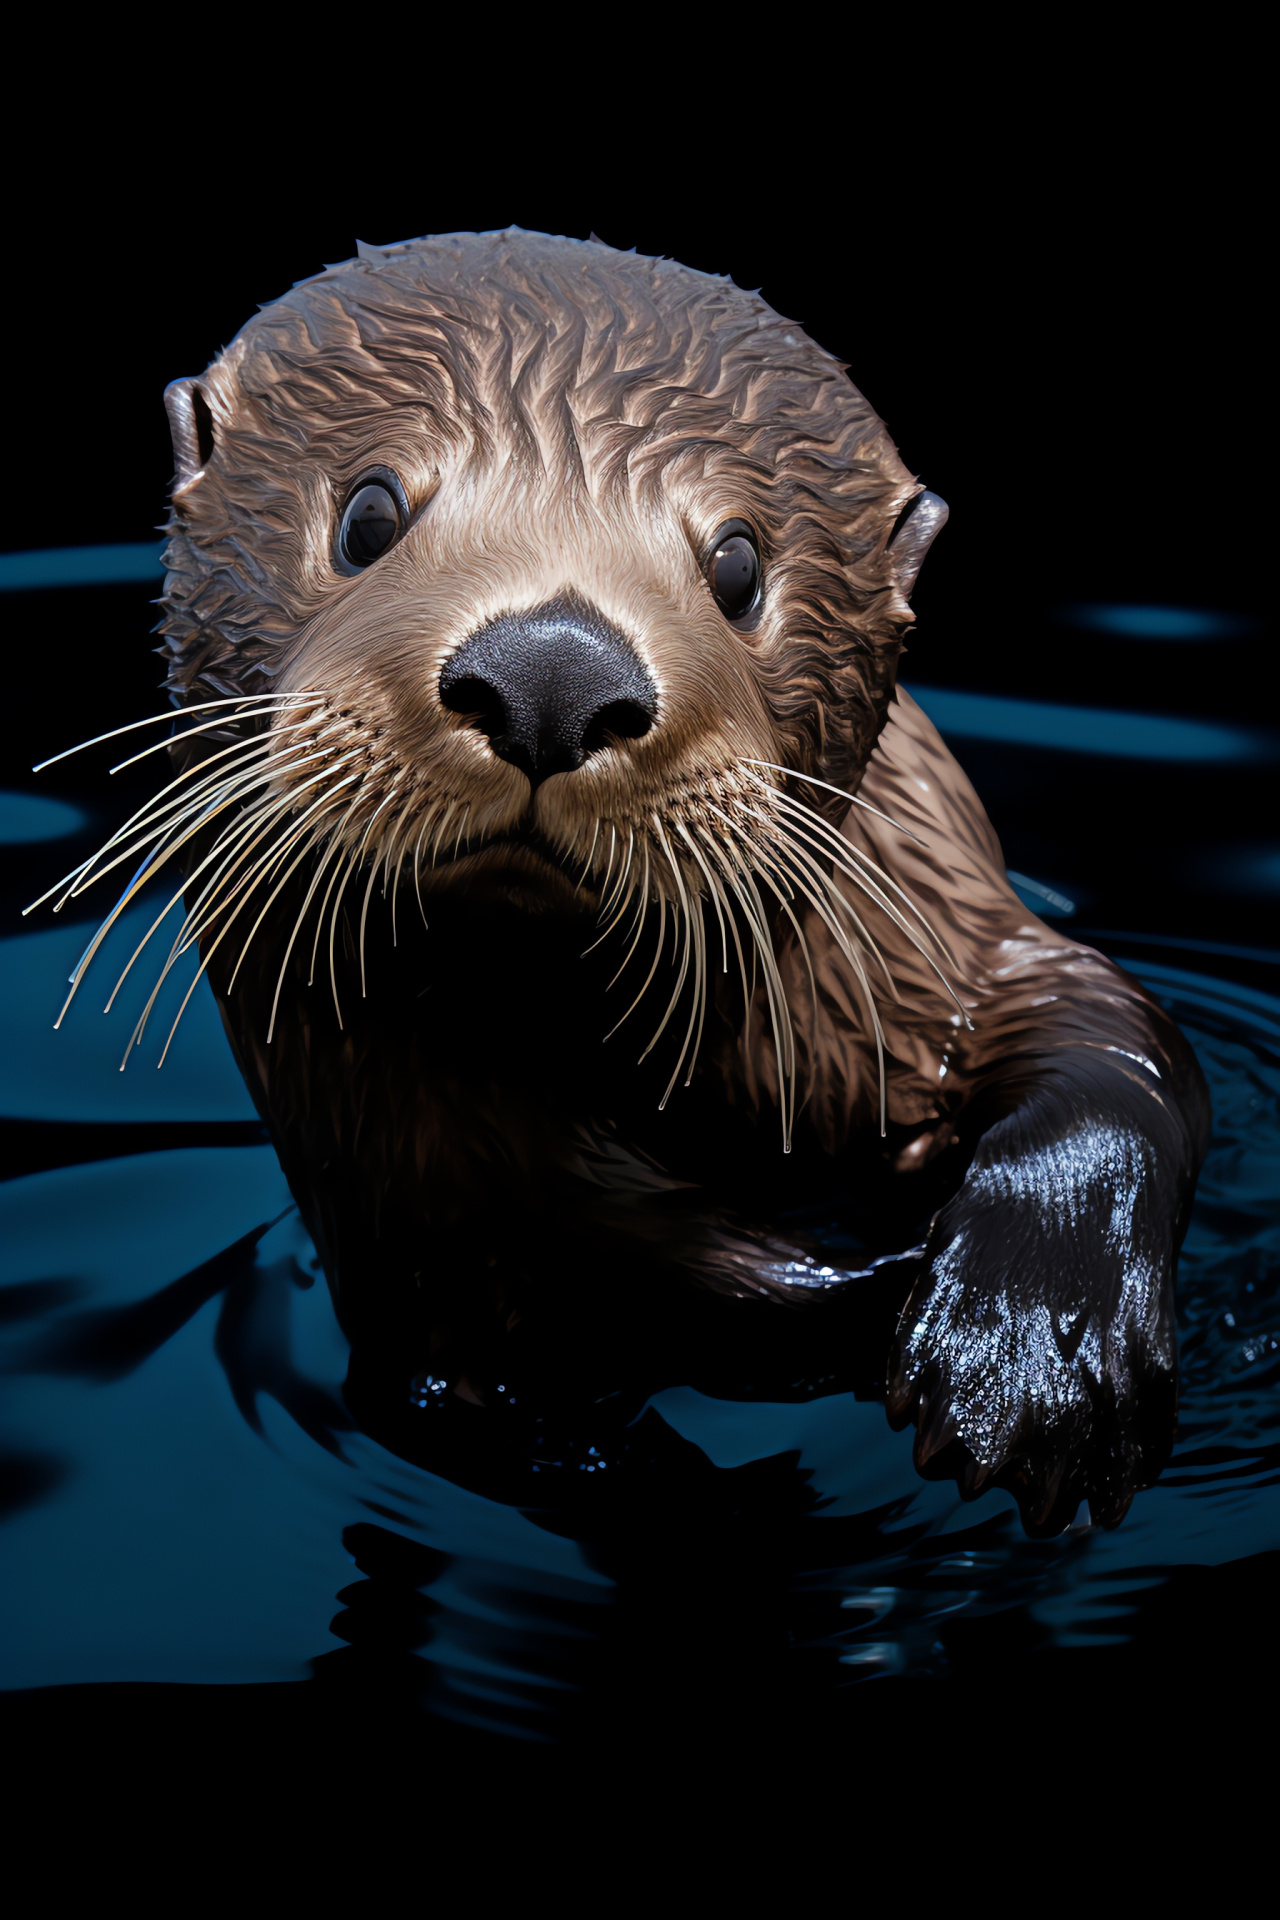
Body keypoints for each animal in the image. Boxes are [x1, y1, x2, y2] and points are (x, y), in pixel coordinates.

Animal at [40, 236, 1205, 1528]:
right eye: (368, 514)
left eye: (738, 566)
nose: (547, 673)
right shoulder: (397, 1160)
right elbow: (574, 1290)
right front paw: (879, 1293)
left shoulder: (940, 942)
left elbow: (1113, 1047)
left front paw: (1034, 1343)